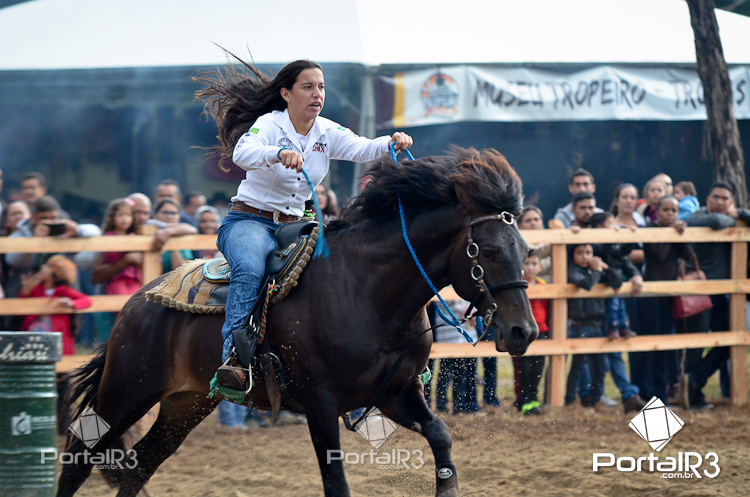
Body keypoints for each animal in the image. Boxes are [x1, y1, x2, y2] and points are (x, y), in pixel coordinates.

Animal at [57, 147, 539, 497]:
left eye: (526, 249)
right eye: (487, 251)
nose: (525, 331)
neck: (366, 290)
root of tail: (135, 304)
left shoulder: (395, 392)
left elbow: (440, 435)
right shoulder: (320, 401)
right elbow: (336, 482)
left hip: (184, 403)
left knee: (140, 467)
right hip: (125, 392)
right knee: (78, 458)